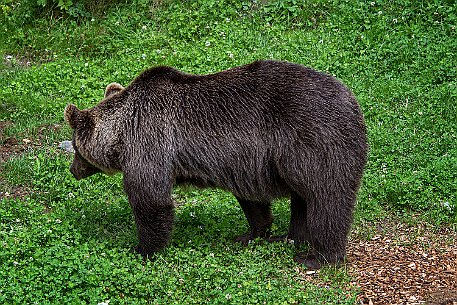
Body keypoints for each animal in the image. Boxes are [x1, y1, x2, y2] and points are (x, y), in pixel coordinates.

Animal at [63, 60, 366, 268]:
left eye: (76, 148)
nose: (73, 170)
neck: (123, 133)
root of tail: (353, 102)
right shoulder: (244, 163)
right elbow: (252, 201)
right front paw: (252, 233)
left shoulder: (150, 142)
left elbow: (150, 199)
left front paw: (142, 248)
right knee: (302, 198)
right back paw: (291, 238)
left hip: (314, 141)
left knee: (327, 199)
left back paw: (319, 257)